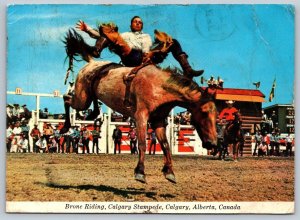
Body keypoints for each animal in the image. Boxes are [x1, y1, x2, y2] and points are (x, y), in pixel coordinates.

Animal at [59, 29, 217, 184]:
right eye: (204, 113)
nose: (213, 143)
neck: (159, 87)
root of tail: (92, 63)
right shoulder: (141, 116)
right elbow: (142, 144)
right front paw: (140, 172)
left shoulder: (158, 120)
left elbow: (165, 145)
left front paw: (169, 172)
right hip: (81, 99)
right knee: (66, 99)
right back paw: (65, 127)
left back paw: (92, 114)